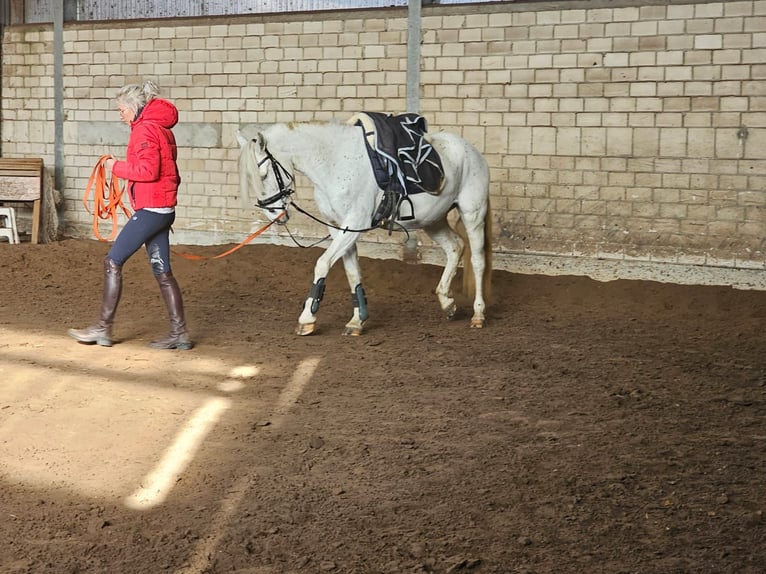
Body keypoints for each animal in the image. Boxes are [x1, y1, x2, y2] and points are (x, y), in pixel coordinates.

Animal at [237, 121, 496, 338]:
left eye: (264, 174)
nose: (274, 214)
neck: (335, 162)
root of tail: (472, 151)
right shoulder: (340, 228)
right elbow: (353, 273)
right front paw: (356, 321)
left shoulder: (353, 224)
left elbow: (322, 263)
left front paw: (307, 318)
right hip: (433, 220)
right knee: (455, 248)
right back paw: (447, 303)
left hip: (472, 213)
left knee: (478, 261)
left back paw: (478, 314)